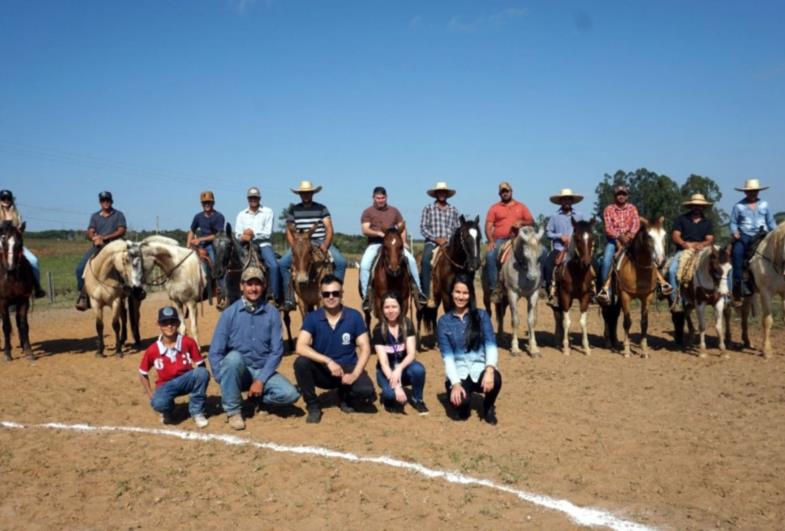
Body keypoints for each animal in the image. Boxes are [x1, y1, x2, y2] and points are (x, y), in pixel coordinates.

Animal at [416, 216, 484, 344]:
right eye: (465, 236)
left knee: (433, 313)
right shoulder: (446, 294)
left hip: (435, 296)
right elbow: (449, 312)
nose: (475, 263)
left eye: (479, 237)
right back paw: (417, 341)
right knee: (419, 313)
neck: (454, 266)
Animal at [486, 225, 544, 356]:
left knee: (501, 314)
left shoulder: (533, 294)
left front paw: (533, 349)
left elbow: (531, 321)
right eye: (526, 255)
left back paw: (501, 336)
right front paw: (515, 348)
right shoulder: (512, 294)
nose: (532, 277)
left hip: (504, 299)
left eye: (539, 256)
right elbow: (515, 320)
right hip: (488, 295)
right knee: (489, 312)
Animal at [552, 216, 596, 358]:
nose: (586, 263)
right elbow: (566, 321)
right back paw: (558, 341)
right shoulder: (565, 295)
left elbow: (583, 321)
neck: (577, 272)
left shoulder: (585, 296)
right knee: (558, 316)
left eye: (592, 238)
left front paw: (586, 348)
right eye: (577, 239)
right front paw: (566, 348)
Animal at [604, 218, 660, 360]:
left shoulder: (647, 296)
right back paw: (608, 341)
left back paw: (615, 340)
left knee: (614, 315)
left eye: (664, 234)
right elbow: (627, 322)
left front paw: (644, 351)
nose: (660, 259)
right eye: (649, 236)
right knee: (607, 315)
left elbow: (644, 322)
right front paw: (627, 351)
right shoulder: (625, 295)